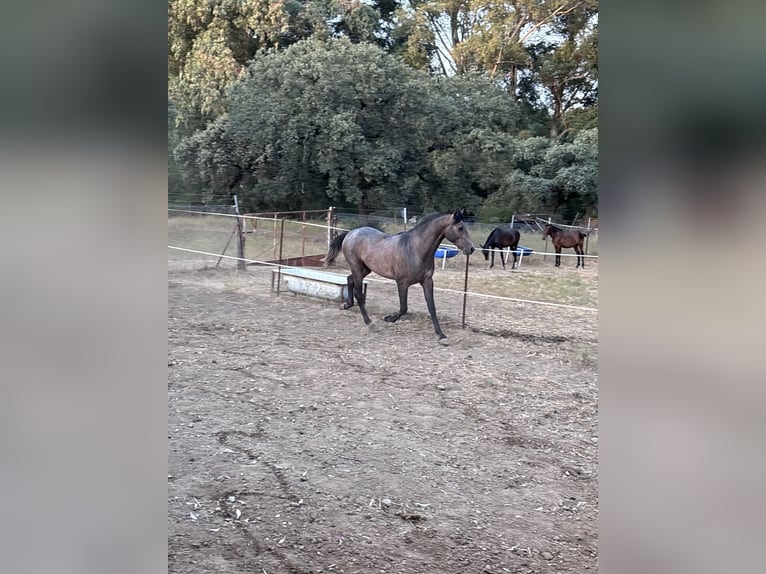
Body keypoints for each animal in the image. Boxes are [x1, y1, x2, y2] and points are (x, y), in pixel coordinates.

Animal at [325, 210, 475, 340]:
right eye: (460, 228)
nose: (471, 249)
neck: (416, 249)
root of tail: (351, 233)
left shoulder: (427, 281)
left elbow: (431, 307)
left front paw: (441, 335)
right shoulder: (402, 282)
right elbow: (404, 308)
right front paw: (389, 318)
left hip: (365, 269)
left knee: (349, 280)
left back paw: (346, 305)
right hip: (357, 267)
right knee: (359, 294)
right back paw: (370, 323)